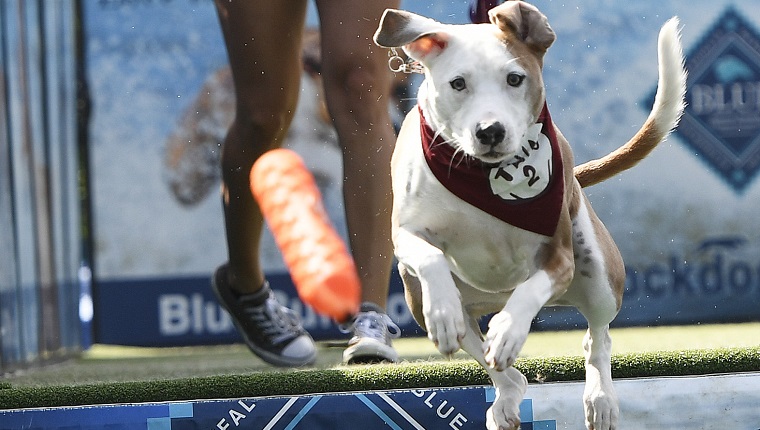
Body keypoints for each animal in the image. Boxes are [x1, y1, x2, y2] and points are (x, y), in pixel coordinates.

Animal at [374, 1, 688, 428]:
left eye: (514, 78)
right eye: (458, 83)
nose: (490, 130)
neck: (481, 177)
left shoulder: (559, 256)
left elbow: (531, 290)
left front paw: (508, 330)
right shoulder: (406, 233)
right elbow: (429, 255)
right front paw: (445, 312)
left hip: (600, 275)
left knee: (597, 336)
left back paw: (600, 398)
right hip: (415, 297)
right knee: (500, 367)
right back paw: (503, 398)